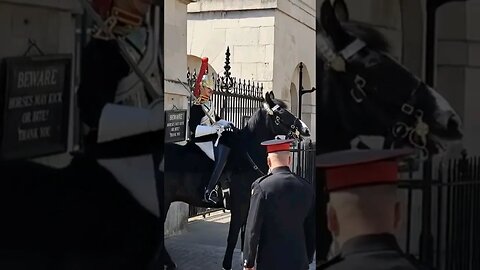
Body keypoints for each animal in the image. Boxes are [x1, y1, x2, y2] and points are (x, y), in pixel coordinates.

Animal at [161, 91, 312, 270]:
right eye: (280, 112)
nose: (305, 129)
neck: (247, 154)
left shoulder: (250, 206)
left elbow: (245, 236)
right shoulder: (239, 206)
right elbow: (233, 238)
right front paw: (227, 265)